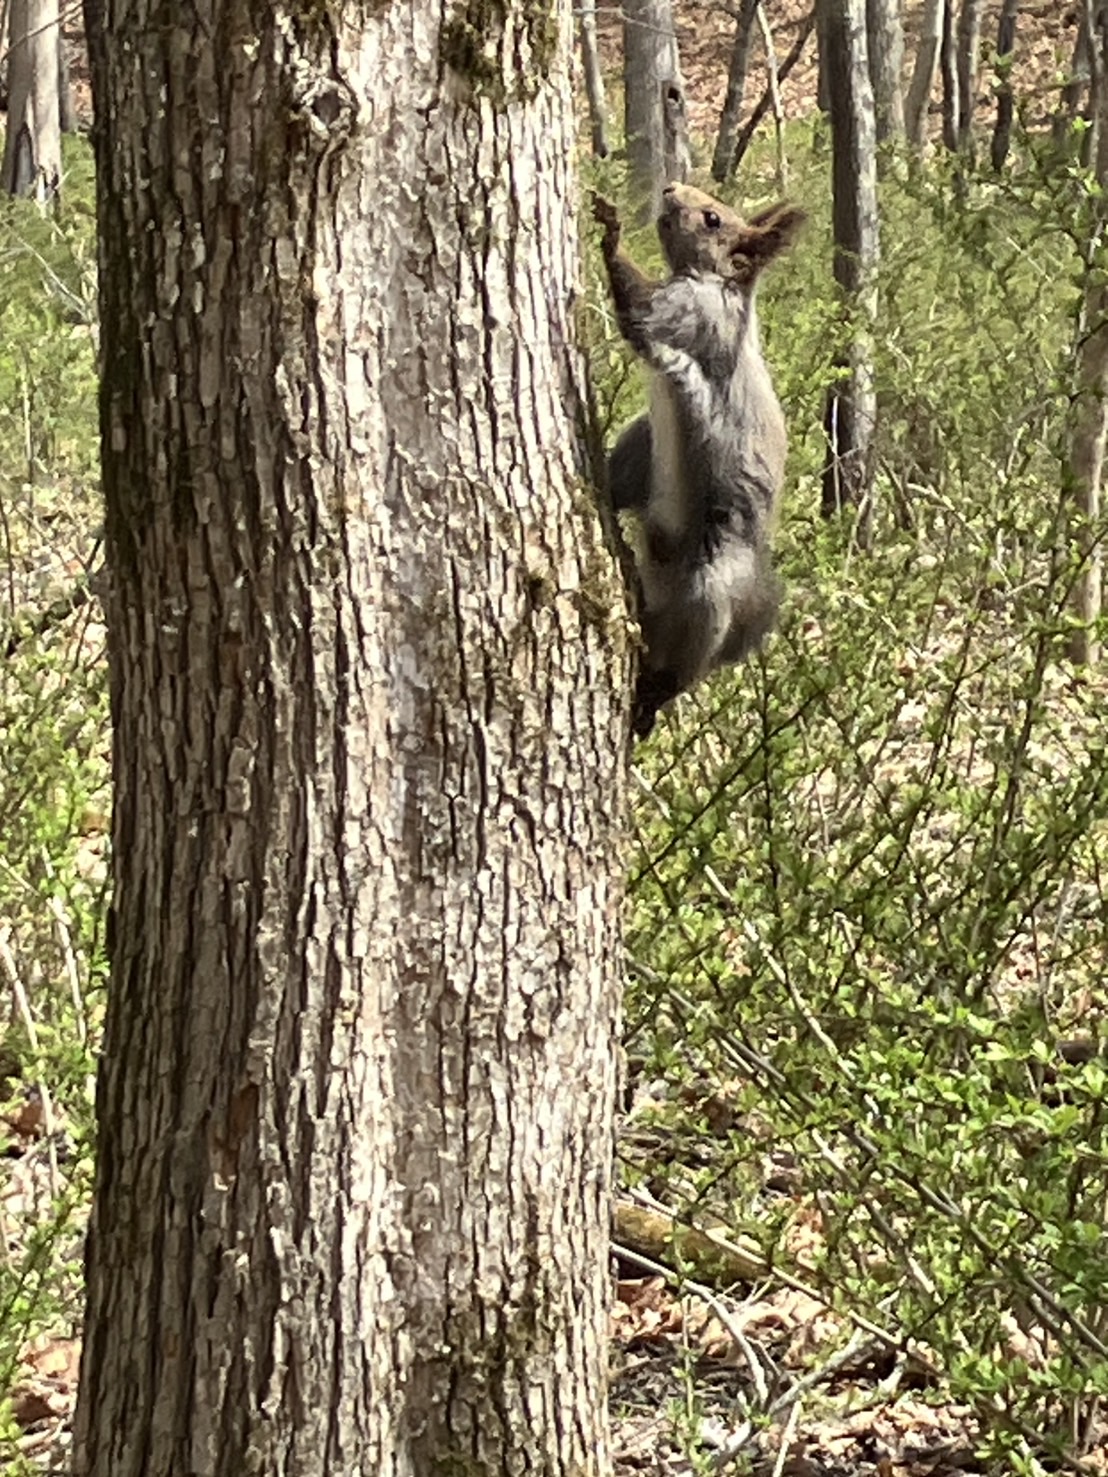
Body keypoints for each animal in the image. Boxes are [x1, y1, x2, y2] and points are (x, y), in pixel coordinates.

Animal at [593, 184, 804, 738]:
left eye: (712, 219)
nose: (670, 190)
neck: (718, 286)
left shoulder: (689, 314)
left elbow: (640, 308)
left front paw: (611, 228)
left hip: (710, 589)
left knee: (684, 666)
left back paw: (655, 694)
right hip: (641, 448)